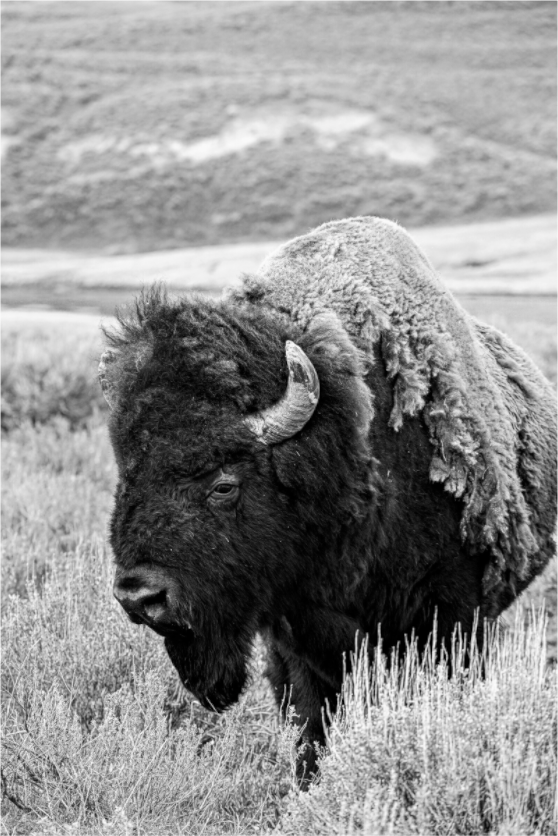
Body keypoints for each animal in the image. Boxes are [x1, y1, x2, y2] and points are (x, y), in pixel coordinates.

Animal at [100, 217, 558, 783]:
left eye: (224, 483)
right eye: (127, 473)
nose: (139, 596)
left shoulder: (450, 616)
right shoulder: (293, 636)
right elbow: (311, 720)